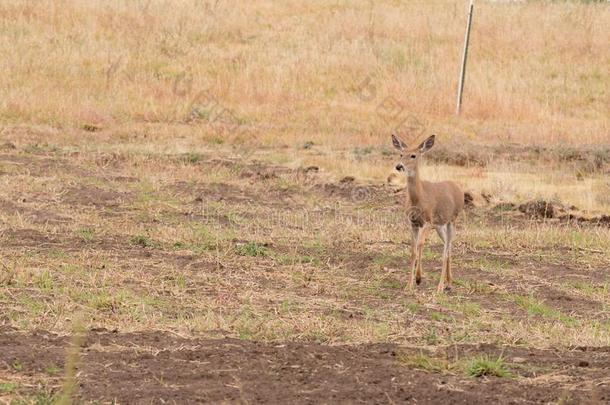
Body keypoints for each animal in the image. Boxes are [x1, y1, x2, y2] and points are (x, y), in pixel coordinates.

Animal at [392, 134, 464, 292]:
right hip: (440, 226)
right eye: (401, 154)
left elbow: (421, 243)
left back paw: (440, 287)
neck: (419, 198)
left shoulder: (428, 221)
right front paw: (409, 285)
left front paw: (419, 278)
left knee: (446, 250)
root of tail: (458, 187)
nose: (399, 166)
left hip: (452, 219)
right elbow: (413, 250)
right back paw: (449, 282)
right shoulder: (413, 223)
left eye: (413, 155)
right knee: (448, 247)